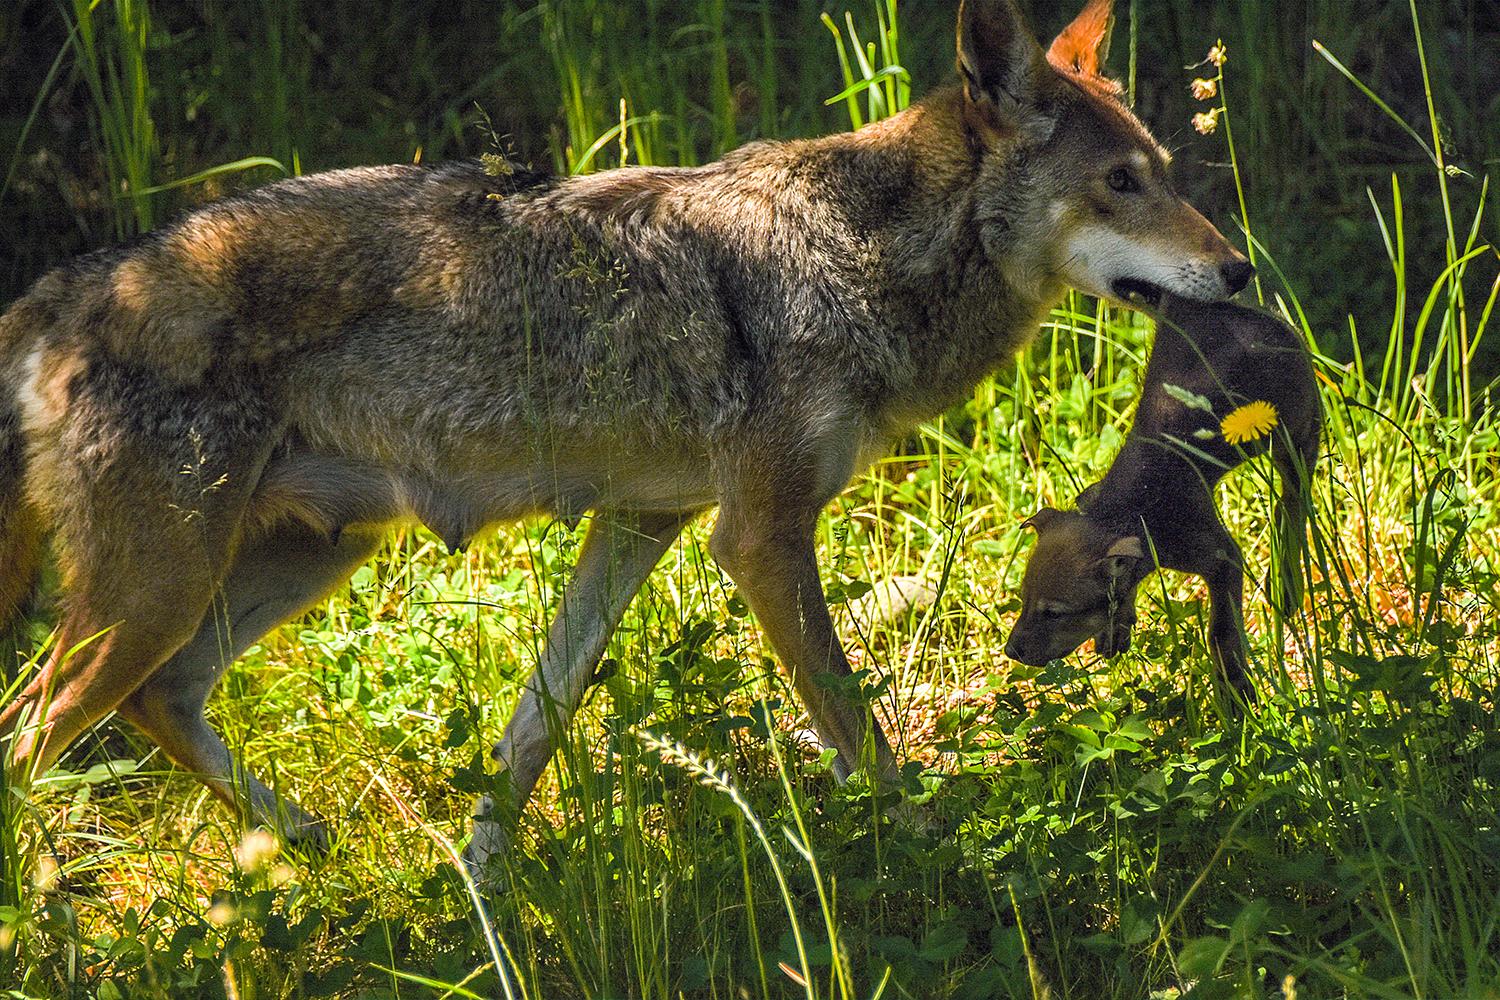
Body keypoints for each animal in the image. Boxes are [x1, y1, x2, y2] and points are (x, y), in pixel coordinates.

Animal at [0, 0, 1242, 869]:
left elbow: (528, 733)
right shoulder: (759, 539)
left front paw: (485, 897)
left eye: (1167, 175)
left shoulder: (645, 524)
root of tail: (64, 290)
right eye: (1121, 182)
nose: (1236, 270)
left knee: (158, 701)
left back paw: (307, 845)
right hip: (158, 592)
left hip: (293, 563)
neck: (856, 253)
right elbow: (861, 733)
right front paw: (946, 860)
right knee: (31, 733)